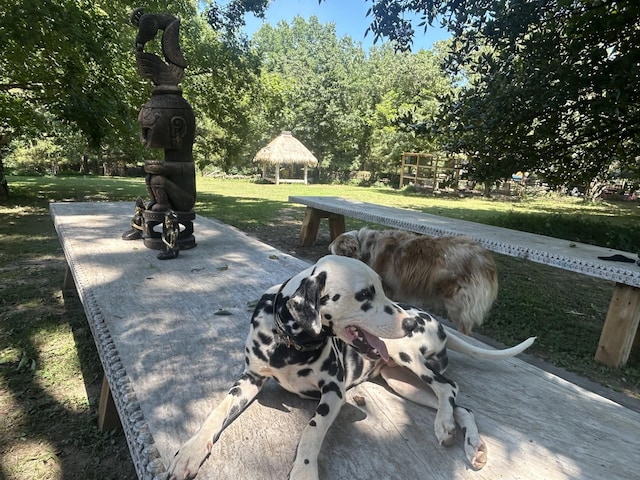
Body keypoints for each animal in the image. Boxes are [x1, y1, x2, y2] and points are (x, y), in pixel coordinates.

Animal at [166, 256, 536, 478]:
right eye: (364, 295)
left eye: (382, 289)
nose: (406, 323)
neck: (289, 343)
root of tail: (436, 322)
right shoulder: (249, 380)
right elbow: (216, 411)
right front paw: (191, 451)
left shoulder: (333, 391)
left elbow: (311, 430)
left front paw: (303, 470)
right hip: (402, 383)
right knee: (463, 405)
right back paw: (472, 445)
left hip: (407, 359)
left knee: (449, 387)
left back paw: (445, 426)